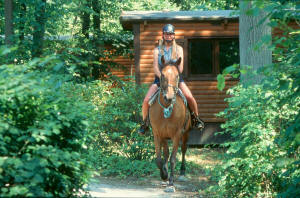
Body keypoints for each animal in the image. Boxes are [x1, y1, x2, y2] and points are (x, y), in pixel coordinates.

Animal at [148, 55, 192, 192]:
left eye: (177, 75)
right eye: (162, 75)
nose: (169, 97)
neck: (167, 108)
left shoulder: (177, 135)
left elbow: (173, 159)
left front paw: (171, 183)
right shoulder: (157, 134)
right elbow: (159, 159)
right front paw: (164, 175)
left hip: (186, 133)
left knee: (183, 149)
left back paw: (182, 172)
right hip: (164, 136)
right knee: (166, 153)